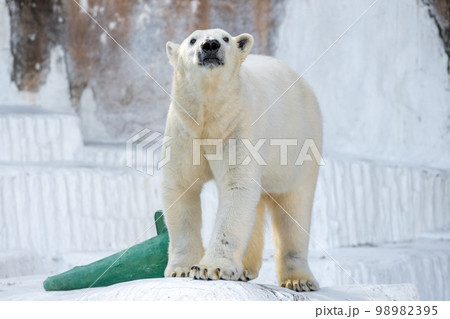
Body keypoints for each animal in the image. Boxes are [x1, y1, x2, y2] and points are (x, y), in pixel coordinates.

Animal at [160, 28, 322, 292]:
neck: (208, 115)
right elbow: (181, 187)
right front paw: (180, 269)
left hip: (301, 144)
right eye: (192, 40)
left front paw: (209, 268)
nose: (210, 45)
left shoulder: (236, 126)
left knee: (294, 208)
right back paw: (245, 267)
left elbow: (237, 187)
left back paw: (299, 279)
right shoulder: (184, 131)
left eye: (225, 38)